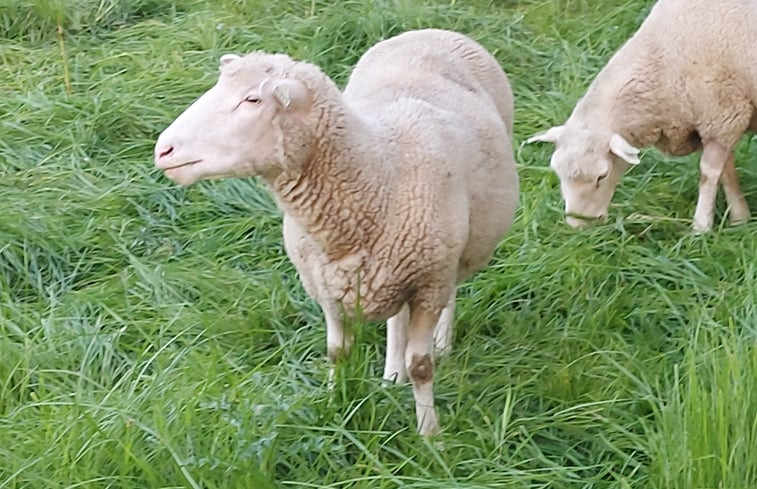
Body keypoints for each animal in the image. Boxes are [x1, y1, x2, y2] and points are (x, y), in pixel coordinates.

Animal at [154, 29, 520, 434]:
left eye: (252, 99)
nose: (163, 150)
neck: (378, 172)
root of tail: (433, 31)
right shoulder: (325, 285)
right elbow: (337, 353)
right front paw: (334, 407)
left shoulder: (429, 282)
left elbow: (422, 366)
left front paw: (431, 438)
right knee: (397, 318)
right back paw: (392, 375)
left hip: (451, 255)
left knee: (451, 292)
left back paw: (441, 344)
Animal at [524, 0, 756, 232]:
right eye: (557, 171)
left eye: (602, 175)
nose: (577, 224)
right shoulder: (718, 121)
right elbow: (727, 172)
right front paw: (740, 219)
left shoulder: (722, 114)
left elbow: (709, 173)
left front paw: (702, 227)